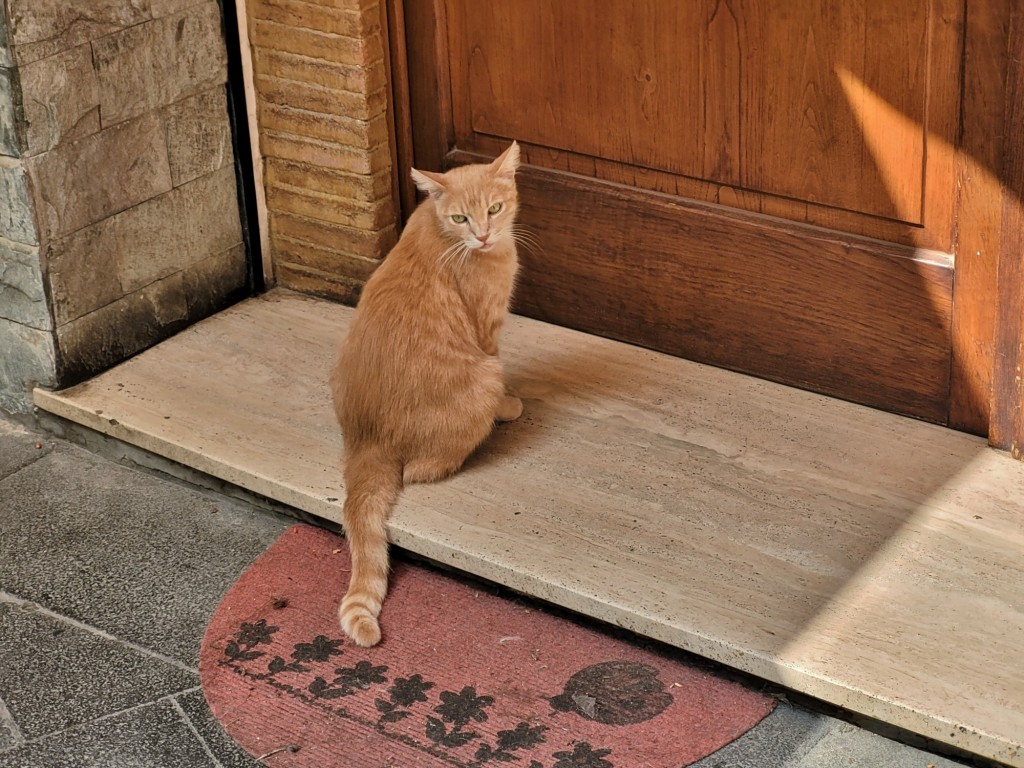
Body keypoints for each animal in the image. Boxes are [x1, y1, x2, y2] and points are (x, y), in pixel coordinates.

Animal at [331, 141, 524, 647]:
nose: (483, 237)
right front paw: (510, 406)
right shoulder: (488, 333)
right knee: (418, 471)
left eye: (494, 209)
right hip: (480, 380)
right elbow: (500, 367)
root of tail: (366, 439)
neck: (441, 231)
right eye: (461, 218)